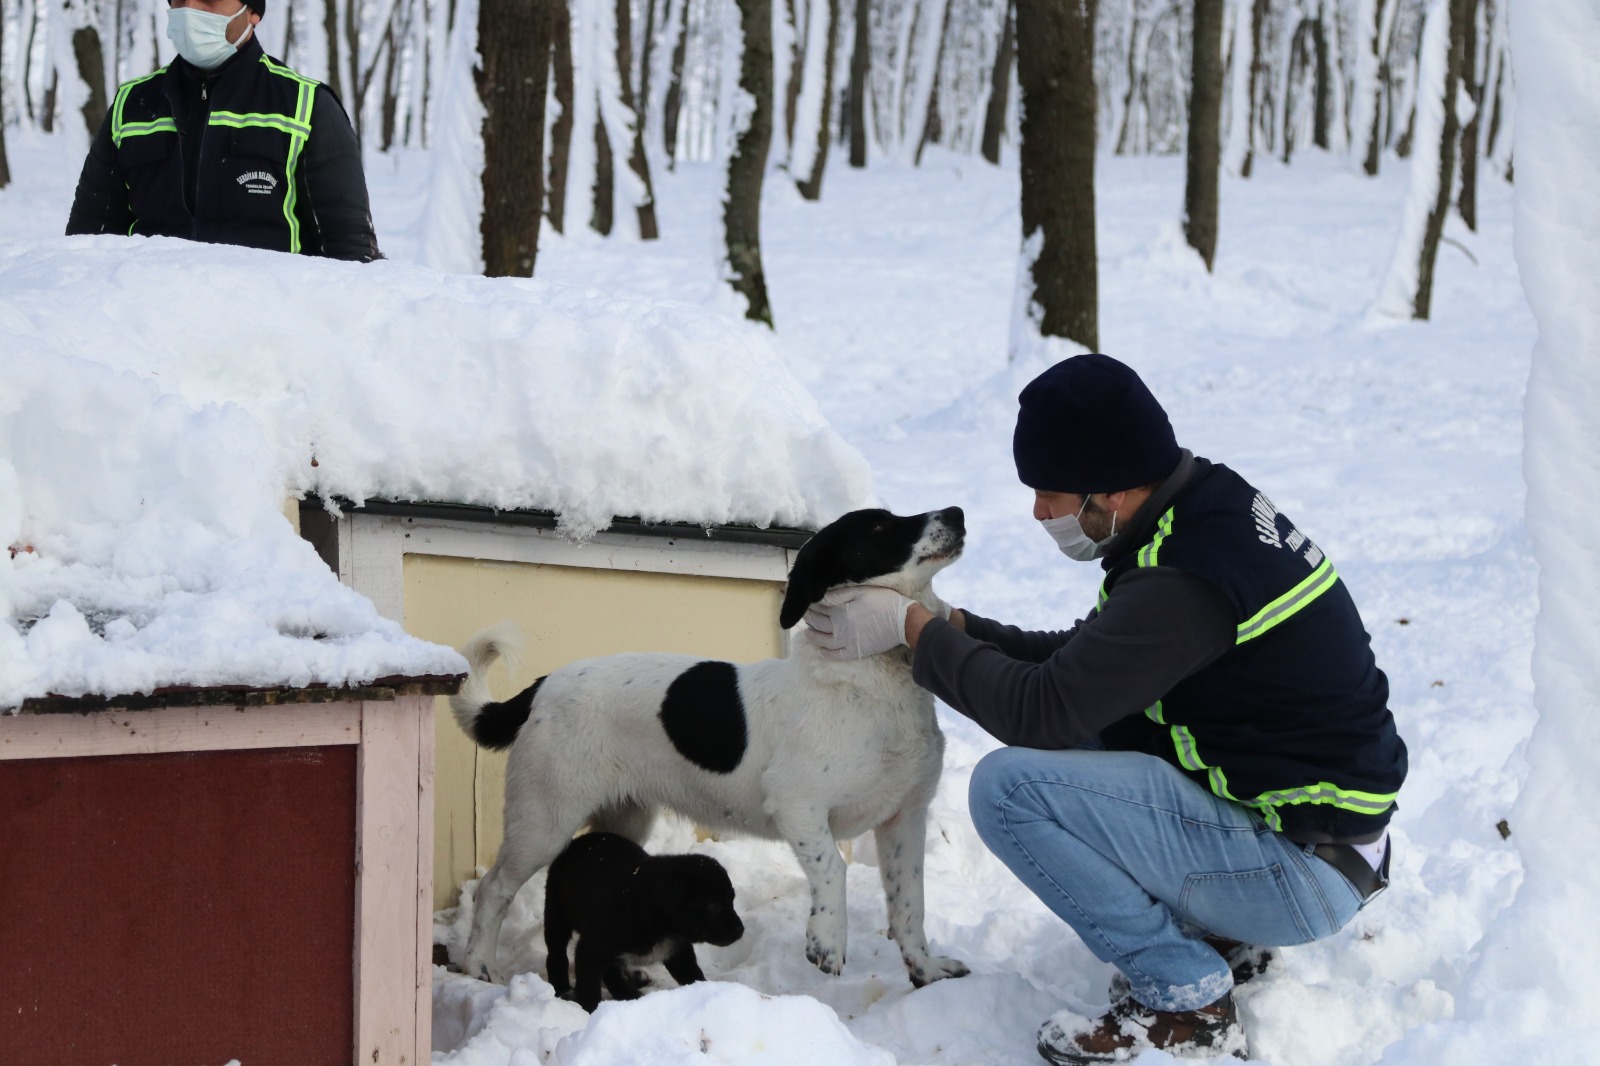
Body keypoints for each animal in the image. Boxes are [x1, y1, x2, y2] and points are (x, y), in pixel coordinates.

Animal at [457, 505, 966, 985]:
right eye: (879, 527)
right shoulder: (798, 804)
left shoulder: (906, 817)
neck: (868, 681)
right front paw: (828, 940)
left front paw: (925, 972)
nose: (957, 513)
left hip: (624, 817)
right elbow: (833, 869)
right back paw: (479, 964)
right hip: (543, 819)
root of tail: (544, 685)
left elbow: (910, 906)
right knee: (493, 889)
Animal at [544, 832, 742, 1005]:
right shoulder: (591, 948)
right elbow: (589, 990)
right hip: (556, 913)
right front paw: (590, 1011)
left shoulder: (678, 951)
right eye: (713, 905)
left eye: (732, 899)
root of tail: (578, 841)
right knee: (556, 955)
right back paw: (563, 991)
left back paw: (627, 993)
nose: (740, 930)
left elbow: (692, 974)